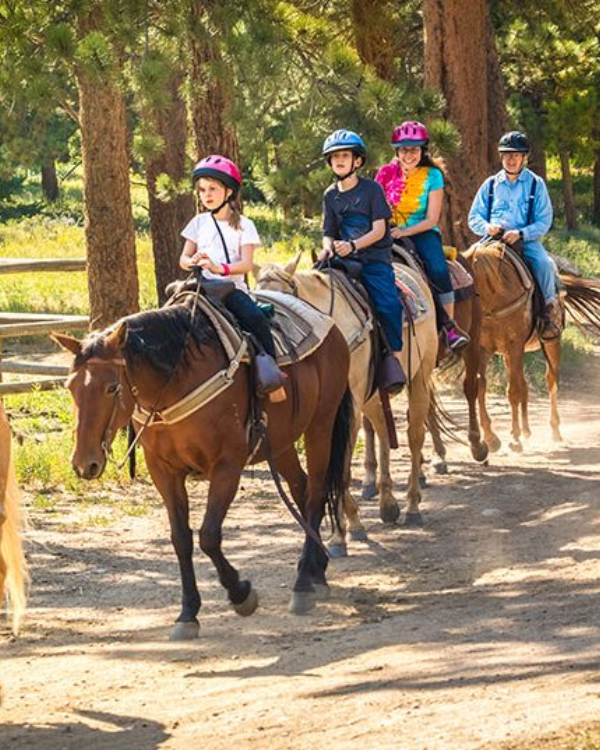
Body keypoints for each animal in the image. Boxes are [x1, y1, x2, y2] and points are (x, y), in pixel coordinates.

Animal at [54, 296, 354, 644]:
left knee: (316, 493)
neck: (175, 381)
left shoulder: (227, 465)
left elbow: (209, 536)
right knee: (301, 489)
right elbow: (181, 539)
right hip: (281, 442)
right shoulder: (163, 471)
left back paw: (304, 583)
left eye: (112, 388)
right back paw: (317, 571)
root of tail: (329, 325)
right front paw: (187, 614)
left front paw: (241, 594)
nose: (84, 463)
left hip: (321, 424)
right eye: (71, 387)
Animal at [255, 253, 438, 552]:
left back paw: (412, 505)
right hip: (373, 395)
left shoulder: (347, 408)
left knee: (414, 437)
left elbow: (339, 466)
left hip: (420, 376)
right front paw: (341, 531)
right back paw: (388, 503)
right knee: (383, 430)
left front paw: (347, 528)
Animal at [466, 242, 600, 452]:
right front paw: (491, 437)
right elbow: (481, 386)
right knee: (524, 385)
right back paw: (527, 431)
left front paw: (514, 438)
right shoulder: (483, 349)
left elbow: (513, 391)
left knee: (551, 381)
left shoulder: (515, 345)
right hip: (508, 354)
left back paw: (554, 431)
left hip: (551, 343)